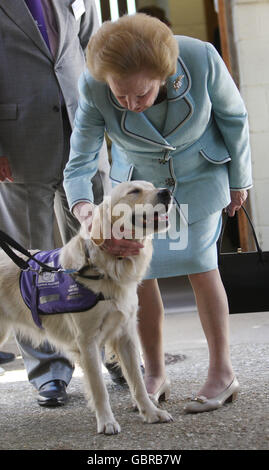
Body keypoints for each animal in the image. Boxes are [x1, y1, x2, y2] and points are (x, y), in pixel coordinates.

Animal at [0, 180, 172, 434]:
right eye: (134, 191)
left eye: (151, 186)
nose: (167, 193)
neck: (106, 267)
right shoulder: (87, 341)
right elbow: (99, 389)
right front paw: (107, 422)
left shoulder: (126, 335)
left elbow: (138, 384)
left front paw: (150, 412)